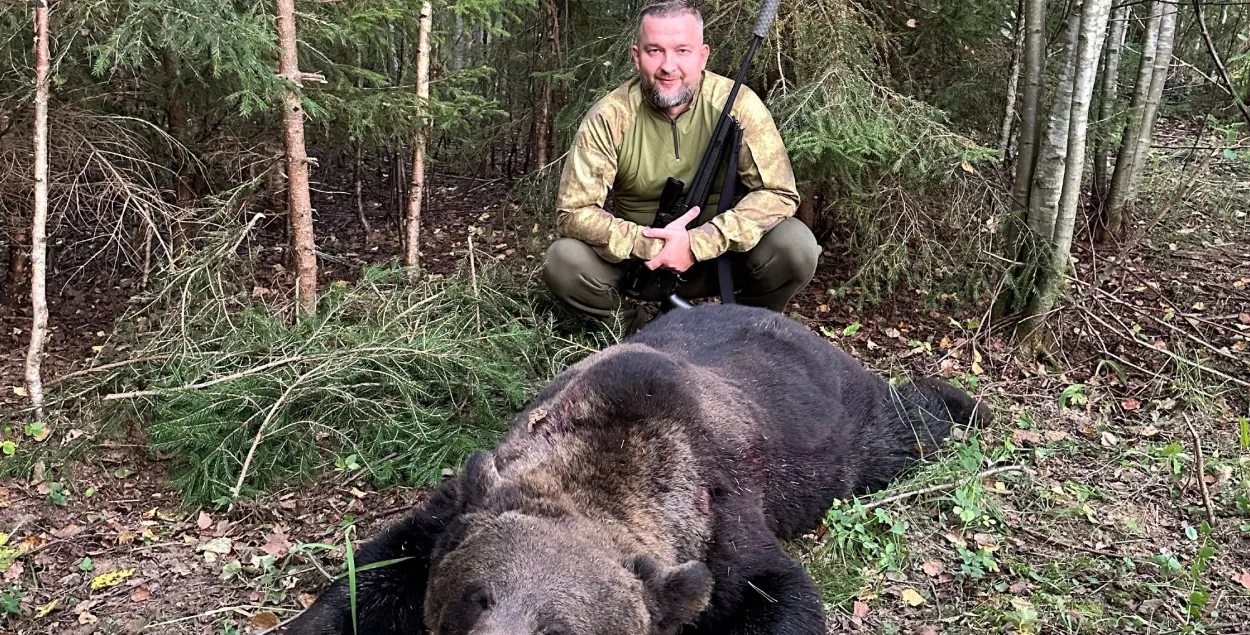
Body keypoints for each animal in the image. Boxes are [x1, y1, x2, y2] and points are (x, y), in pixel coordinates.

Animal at [281, 303, 985, 635]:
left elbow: (779, 594)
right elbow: (369, 575)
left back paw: (962, 400)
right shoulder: (464, 500)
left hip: (846, 433)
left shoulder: (722, 526)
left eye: (561, 630)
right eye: (476, 595)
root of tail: (807, 329)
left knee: (903, 428)